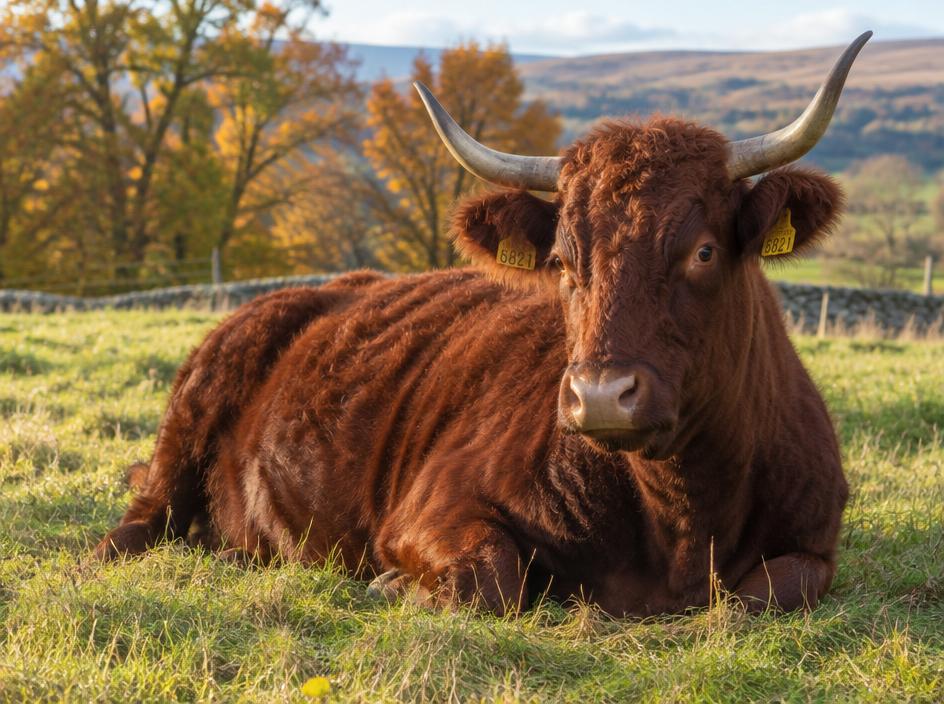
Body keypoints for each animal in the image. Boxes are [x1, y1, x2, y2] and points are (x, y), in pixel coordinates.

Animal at [95, 33, 872, 616]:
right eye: (562, 259)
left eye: (703, 250)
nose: (601, 396)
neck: (681, 518)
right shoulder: (430, 508)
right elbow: (491, 578)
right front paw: (394, 583)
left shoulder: (814, 545)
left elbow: (767, 593)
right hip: (184, 425)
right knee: (142, 519)